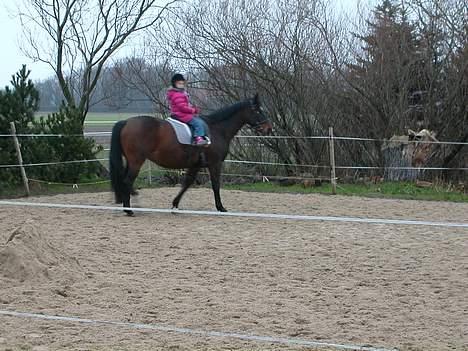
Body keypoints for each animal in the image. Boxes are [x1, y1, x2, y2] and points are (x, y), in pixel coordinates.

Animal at [109, 93, 272, 216]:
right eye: (258, 110)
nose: (268, 128)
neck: (217, 129)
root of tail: (126, 122)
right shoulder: (215, 163)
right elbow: (215, 185)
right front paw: (221, 207)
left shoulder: (195, 164)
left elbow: (187, 183)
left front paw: (175, 205)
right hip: (137, 161)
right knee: (127, 181)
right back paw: (129, 209)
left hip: (131, 161)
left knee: (124, 181)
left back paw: (129, 205)